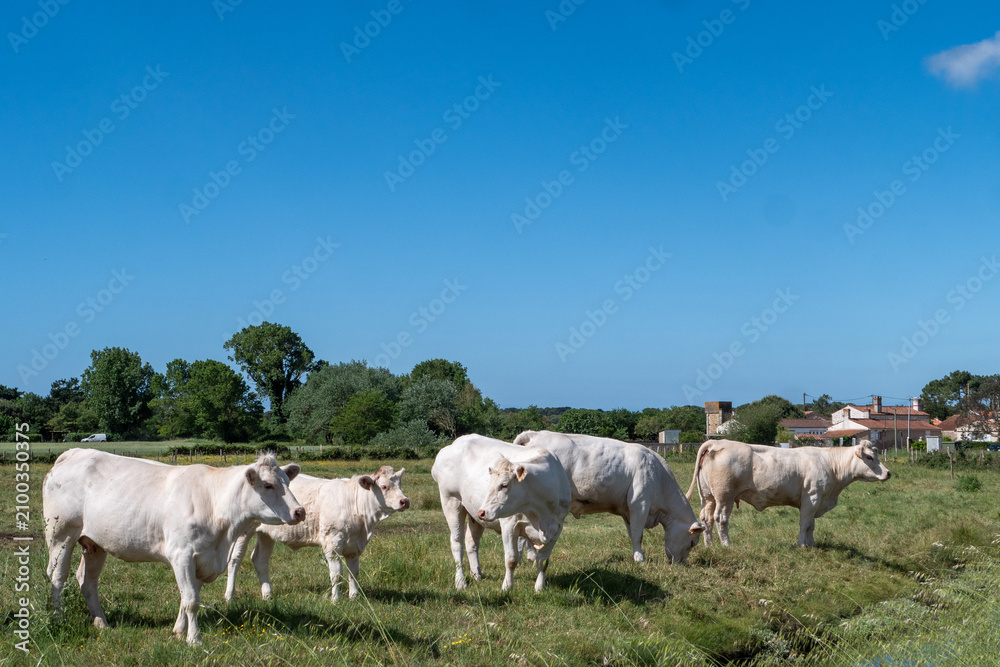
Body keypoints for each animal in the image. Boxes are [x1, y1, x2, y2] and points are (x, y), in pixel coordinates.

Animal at [43, 449, 304, 645]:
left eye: (288, 481)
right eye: (268, 485)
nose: (299, 511)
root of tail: (74, 452)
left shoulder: (203, 558)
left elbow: (187, 596)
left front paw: (178, 631)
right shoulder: (182, 555)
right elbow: (191, 600)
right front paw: (194, 639)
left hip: (95, 543)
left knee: (87, 581)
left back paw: (101, 623)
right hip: (61, 535)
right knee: (57, 576)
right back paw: (58, 618)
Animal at [225, 466, 409, 602]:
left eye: (400, 485)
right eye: (384, 486)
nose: (405, 501)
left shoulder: (354, 546)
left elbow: (354, 573)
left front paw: (354, 598)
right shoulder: (332, 542)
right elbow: (337, 574)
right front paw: (335, 600)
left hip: (267, 534)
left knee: (260, 560)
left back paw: (267, 595)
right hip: (243, 531)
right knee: (235, 560)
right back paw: (229, 595)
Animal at [431, 434, 571, 592]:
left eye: (504, 485)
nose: (482, 512)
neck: (541, 515)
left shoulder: (556, 528)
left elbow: (543, 561)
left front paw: (540, 587)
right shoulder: (509, 525)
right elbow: (511, 560)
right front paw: (507, 586)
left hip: (473, 513)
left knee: (471, 541)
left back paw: (476, 574)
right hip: (451, 501)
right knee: (457, 542)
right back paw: (460, 581)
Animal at [514, 431, 704, 563]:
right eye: (692, 543)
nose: (680, 563)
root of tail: (535, 433)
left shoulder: (628, 510)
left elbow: (632, 533)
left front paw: (636, 556)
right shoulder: (640, 503)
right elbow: (638, 535)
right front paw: (640, 560)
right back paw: (530, 556)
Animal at [686, 439, 892, 547]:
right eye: (869, 457)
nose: (888, 473)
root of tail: (717, 441)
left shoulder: (815, 502)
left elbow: (811, 525)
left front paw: (812, 544)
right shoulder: (811, 498)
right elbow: (805, 524)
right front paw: (802, 545)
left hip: (708, 497)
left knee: (706, 519)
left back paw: (710, 545)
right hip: (725, 496)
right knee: (721, 519)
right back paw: (727, 545)